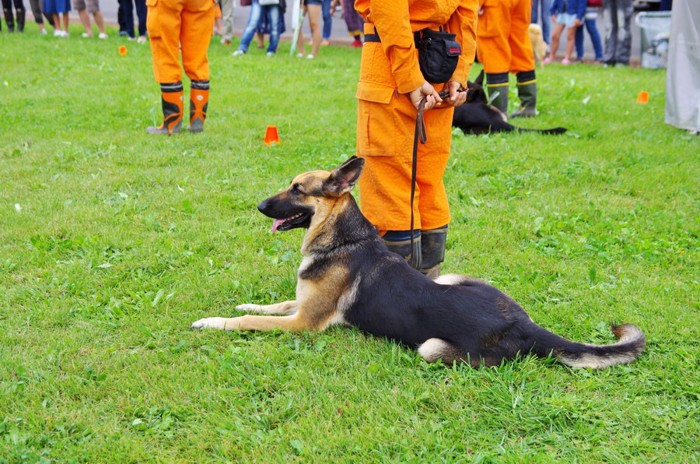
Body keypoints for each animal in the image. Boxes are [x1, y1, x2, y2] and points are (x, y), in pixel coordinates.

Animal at [191, 158, 644, 368]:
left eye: (298, 189)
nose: (259, 206)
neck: (344, 238)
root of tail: (524, 325)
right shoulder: (300, 305)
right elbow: (271, 304)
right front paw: (244, 303)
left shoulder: (303, 323)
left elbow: (251, 321)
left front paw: (212, 321)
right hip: (455, 278)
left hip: (429, 347)